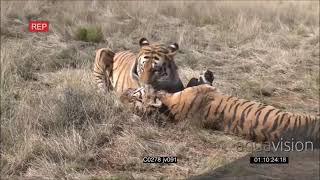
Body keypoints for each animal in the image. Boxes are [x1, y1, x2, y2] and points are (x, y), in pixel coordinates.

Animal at [120, 59, 320, 144]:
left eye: (133, 96)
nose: (122, 93)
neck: (168, 107)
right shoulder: (206, 90)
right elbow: (200, 82)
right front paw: (205, 74)